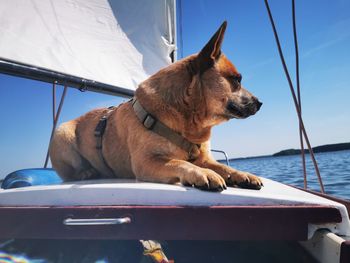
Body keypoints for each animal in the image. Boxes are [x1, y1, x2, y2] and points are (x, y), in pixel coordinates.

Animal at [49, 21, 262, 192]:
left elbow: (225, 167)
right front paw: (203, 174)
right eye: (237, 80)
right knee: (71, 172)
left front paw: (242, 174)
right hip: (62, 133)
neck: (189, 119)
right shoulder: (147, 161)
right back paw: (87, 172)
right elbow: (178, 161)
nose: (260, 103)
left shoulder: (206, 159)